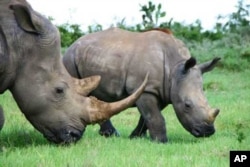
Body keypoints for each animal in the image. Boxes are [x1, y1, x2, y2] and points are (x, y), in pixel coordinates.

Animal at [63, 27, 221, 142]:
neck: (175, 69)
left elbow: (146, 117)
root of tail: (73, 44)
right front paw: (161, 141)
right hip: (70, 59)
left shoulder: (164, 90)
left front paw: (135, 137)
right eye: (187, 105)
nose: (207, 132)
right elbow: (154, 117)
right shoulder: (147, 89)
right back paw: (111, 134)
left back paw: (110, 135)